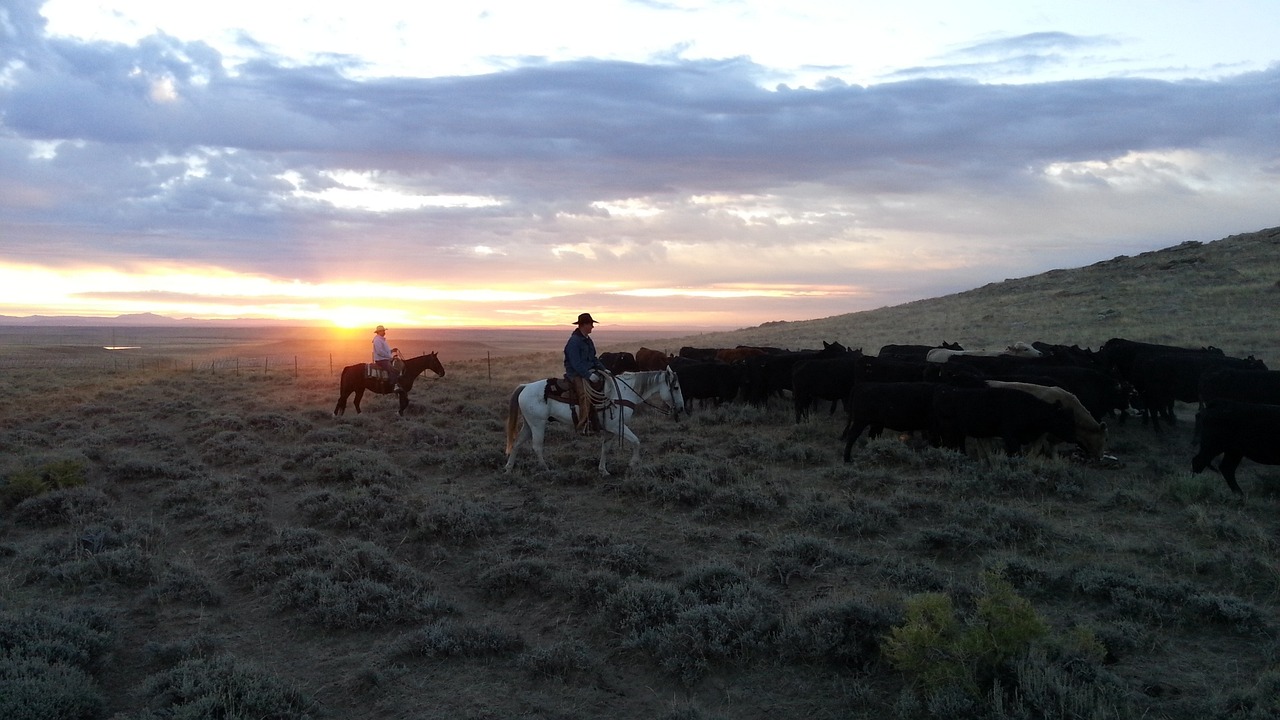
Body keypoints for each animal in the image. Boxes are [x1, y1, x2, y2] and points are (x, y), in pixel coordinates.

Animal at [501, 366, 686, 474]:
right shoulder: (618, 426)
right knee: (537, 447)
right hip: (538, 424)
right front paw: (633, 463)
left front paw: (603, 470)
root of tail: (525, 386)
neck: (623, 393)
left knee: (517, 443)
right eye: (676, 387)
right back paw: (546, 469)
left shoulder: (611, 429)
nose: (681, 408)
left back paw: (509, 468)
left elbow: (605, 448)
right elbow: (636, 441)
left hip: (529, 424)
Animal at [931, 386, 1080, 453]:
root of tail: (942, 395)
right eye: (1065, 420)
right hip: (949, 433)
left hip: (959, 434)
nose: (1073, 438)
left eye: (1073, 419)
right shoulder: (1010, 437)